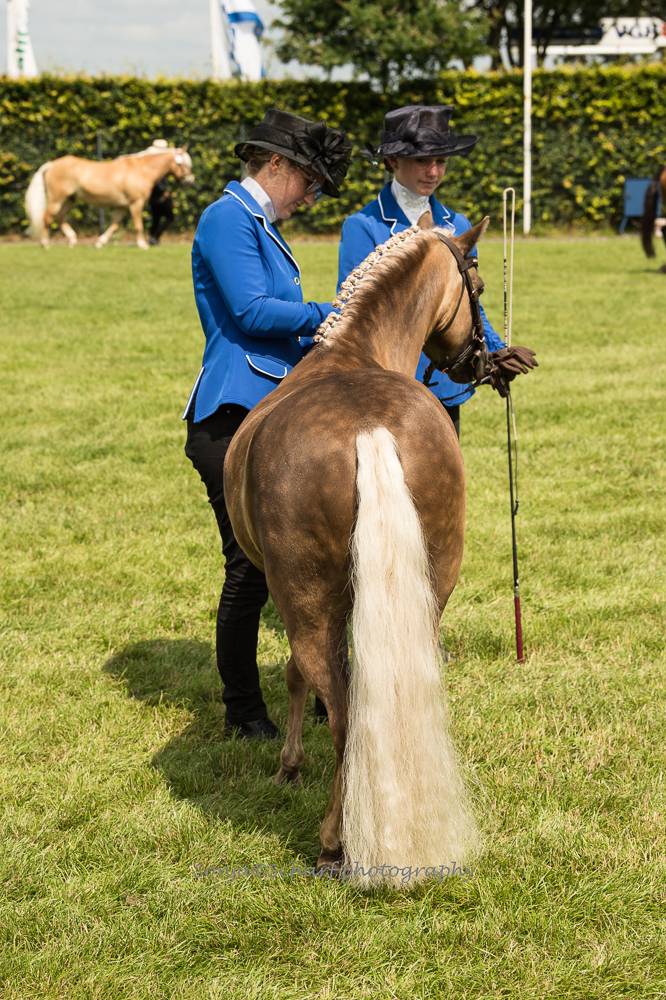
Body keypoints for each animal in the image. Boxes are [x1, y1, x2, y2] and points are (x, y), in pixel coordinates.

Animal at [24, 144, 194, 249]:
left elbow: (114, 225)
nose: (190, 180)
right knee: (48, 218)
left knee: (60, 217)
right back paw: (45, 243)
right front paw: (142, 244)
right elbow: (138, 225)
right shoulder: (135, 203)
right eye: (184, 164)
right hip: (57, 199)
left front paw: (100, 242)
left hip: (69, 199)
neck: (142, 170)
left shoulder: (122, 207)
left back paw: (72, 239)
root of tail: (51, 164)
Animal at [224, 220, 492, 888]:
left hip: (308, 606)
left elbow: (297, 678)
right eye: (476, 284)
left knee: (342, 708)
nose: (478, 358)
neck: (351, 353)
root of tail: (368, 427)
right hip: (431, 591)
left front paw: (289, 766)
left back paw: (332, 843)